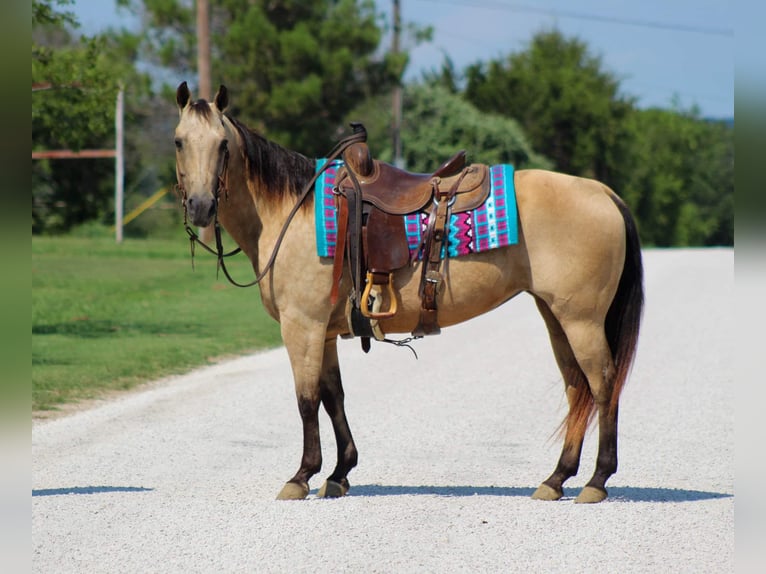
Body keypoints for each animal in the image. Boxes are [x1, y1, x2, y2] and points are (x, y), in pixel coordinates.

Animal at [173, 81, 643, 504]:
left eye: (222, 145)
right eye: (179, 142)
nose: (201, 206)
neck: (292, 210)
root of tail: (604, 192)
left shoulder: (302, 326)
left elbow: (307, 400)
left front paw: (302, 475)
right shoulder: (325, 332)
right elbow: (333, 397)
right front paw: (339, 473)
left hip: (581, 319)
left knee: (603, 384)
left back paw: (596, 480)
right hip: (556, 315)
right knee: (577, 387)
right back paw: (556, 479)